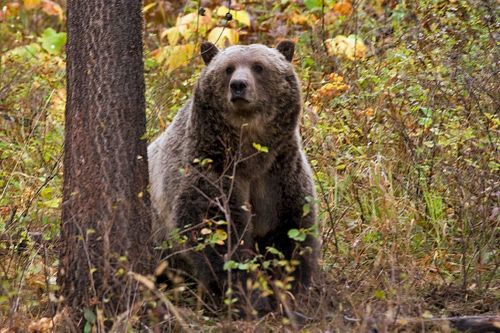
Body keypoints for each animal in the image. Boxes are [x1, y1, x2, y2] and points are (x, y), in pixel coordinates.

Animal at [148, 40, 320, 312]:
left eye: (258, 66)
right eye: (228, 68)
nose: (238, 85)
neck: (250, 154)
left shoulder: (279, 174)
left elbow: (291, 230)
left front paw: (290, 289)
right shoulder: (212, 169)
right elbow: (217, 234)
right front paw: (249, 296)